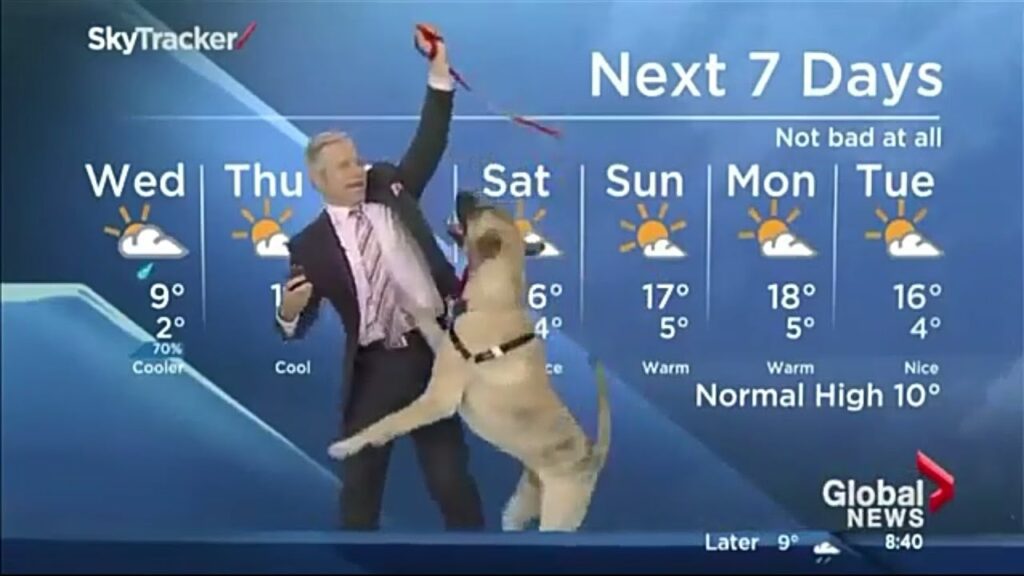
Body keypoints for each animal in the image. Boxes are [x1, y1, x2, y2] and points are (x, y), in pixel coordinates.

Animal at [329, 195, 606, 528]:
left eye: (480, 209)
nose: (463, 192)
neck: (497, 300)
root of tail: (592, 455)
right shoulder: (445, 342)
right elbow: (428, 318)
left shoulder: (438, 400)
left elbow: (386, 422)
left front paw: (346, 446)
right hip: (518, 507)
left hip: (557, 517)